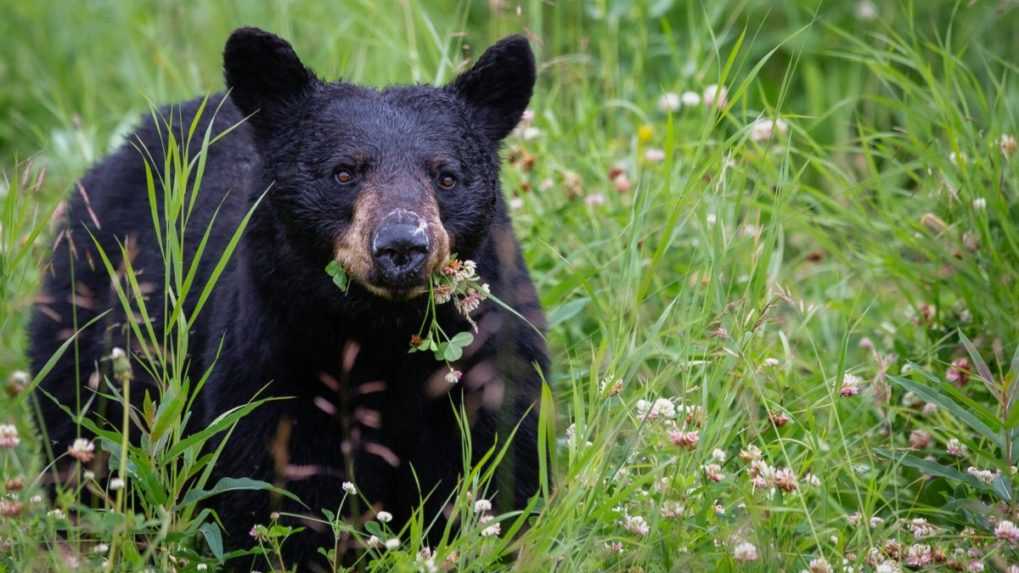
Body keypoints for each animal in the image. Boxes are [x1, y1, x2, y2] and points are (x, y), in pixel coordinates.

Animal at [27, 27, 546, 566]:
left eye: (446, 176)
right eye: (344, 172)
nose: (402, 245)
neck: (380, 334)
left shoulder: (490, 361)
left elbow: (499, 469)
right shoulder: (272, 362)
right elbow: (275, 492)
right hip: (82, 325)